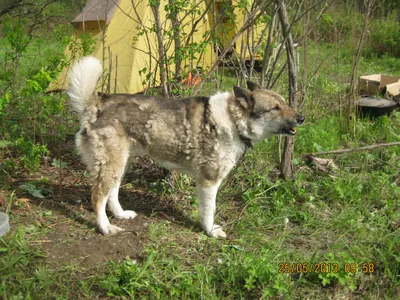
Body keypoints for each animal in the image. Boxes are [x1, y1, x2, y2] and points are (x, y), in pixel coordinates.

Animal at [67, 56, 304, 238]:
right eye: (275, 108)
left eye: (285, 103)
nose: (302, 118)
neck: (234, 121)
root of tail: (94, 105)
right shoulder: (209, 181)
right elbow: (209, 211)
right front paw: (210, 231)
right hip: (112, 165)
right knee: (98, 197)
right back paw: (105, 227)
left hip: (121, 164)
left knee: (112, 193)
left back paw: (120, 215)